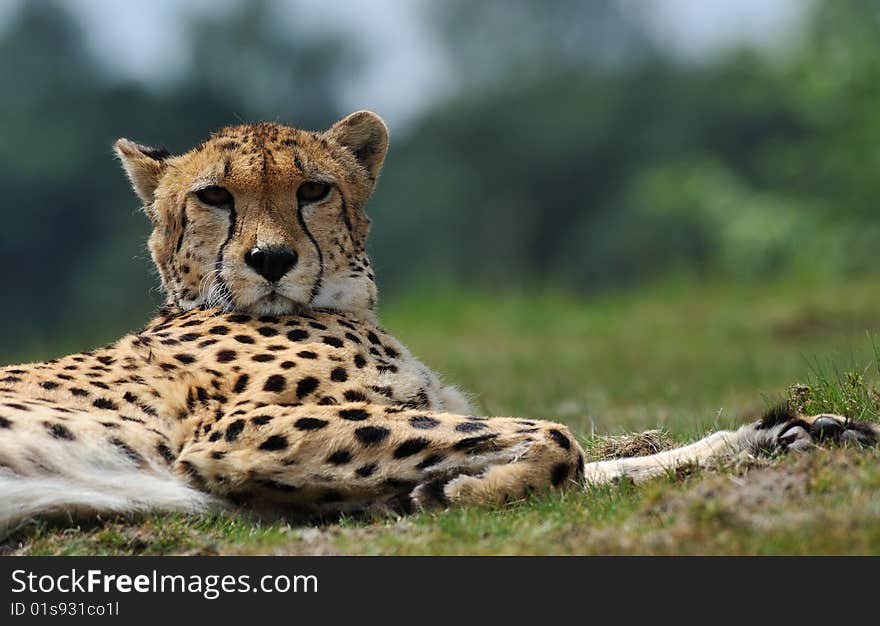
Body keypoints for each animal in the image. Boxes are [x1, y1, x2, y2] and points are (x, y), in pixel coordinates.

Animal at [0, 111, 872, 532]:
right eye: (214, 197)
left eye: (313, 189)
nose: (272, 260)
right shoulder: (240, 432)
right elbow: (560, 441)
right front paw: (467, 494)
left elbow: (601, 462)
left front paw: (778, 435)